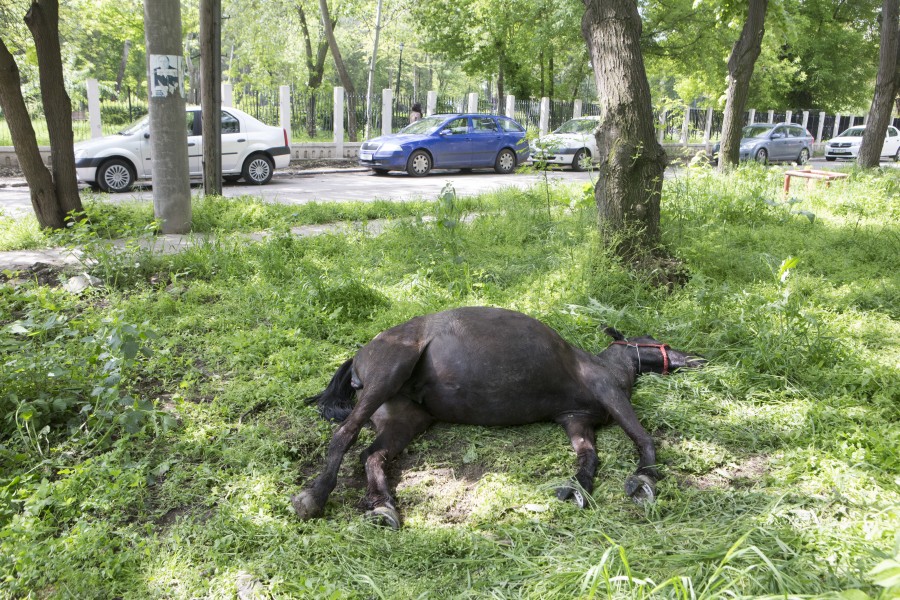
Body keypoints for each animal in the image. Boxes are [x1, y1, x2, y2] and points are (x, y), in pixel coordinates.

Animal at [292, 308, 708, 528]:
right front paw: (644, 478)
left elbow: (589, 456)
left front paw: (578, 486)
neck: (600, 365)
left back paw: (382, 505)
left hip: (405, 421)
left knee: (372, 456)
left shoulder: (576, 420)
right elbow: (643, 437)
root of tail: (361, 354)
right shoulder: (610, 396)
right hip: (388, 375)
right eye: (653, 340)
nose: (698, 358)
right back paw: (314, 495)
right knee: (344, 436)